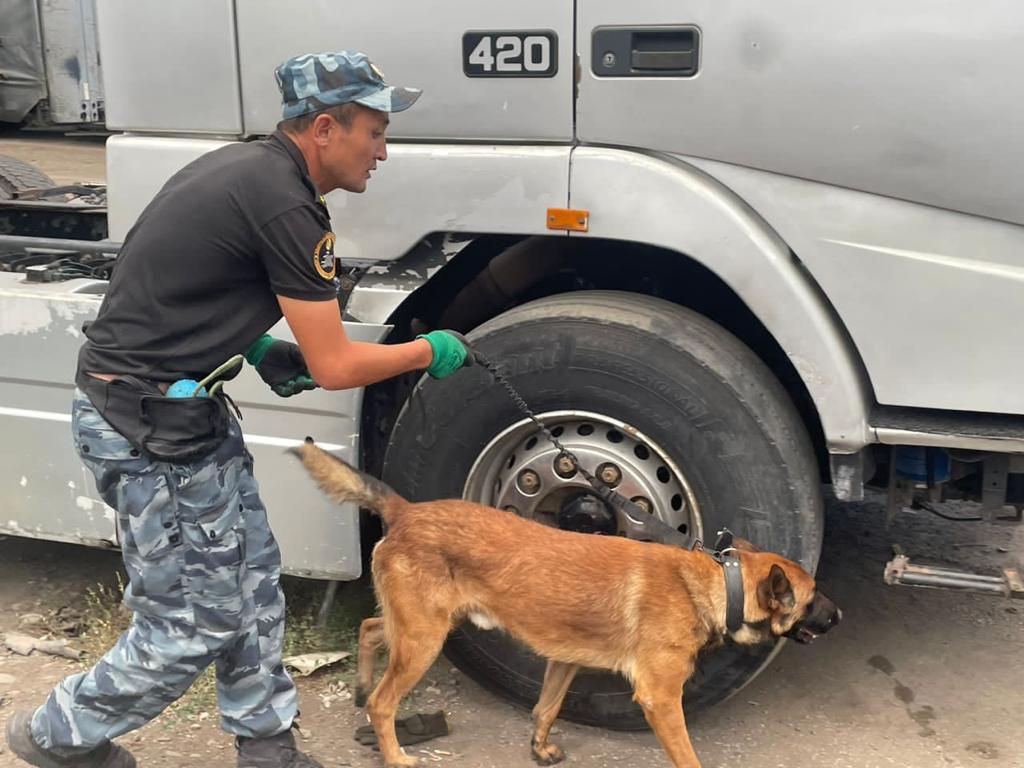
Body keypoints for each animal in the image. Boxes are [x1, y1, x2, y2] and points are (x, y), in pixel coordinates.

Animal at [290, 442, 839, 765]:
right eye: (812, 598)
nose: (839, 614)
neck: (713, 584)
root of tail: (406, 511)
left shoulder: (564, 660)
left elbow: (546, 707)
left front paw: (540, 747)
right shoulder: (660, 700)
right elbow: (687, 756)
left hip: (423, 625)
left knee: (368, 627)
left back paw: (361, 685)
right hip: (425, 638)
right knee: (384, 704)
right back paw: (395, 751)